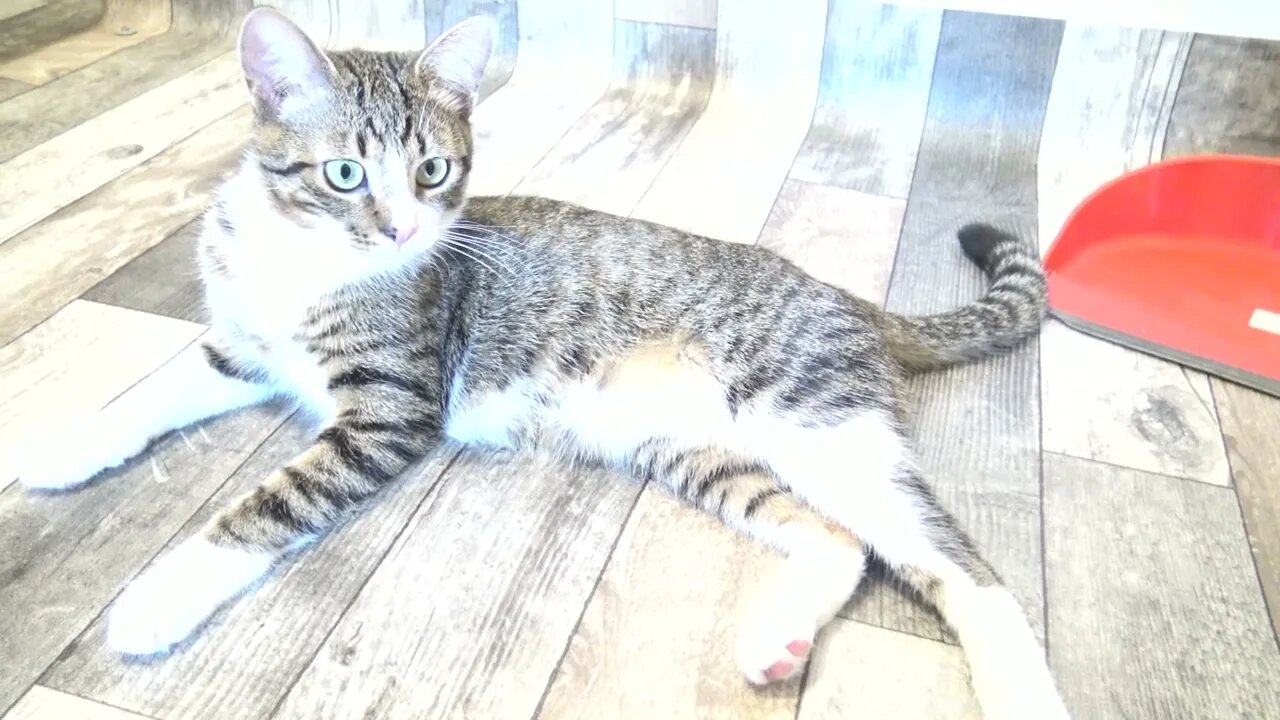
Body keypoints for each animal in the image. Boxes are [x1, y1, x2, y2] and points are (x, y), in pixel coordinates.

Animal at [17, 7, 1070, 717]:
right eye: (344, 173)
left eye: (433, 171)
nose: (403, 228)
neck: (301, 261)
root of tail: (852, 298)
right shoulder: (239, 349)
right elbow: (154, 390)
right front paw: (65, 447)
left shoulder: (388, 411)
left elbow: (270, 502)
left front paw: (158, 597)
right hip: (691, 448)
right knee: (838, 540)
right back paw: (779, 639)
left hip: (815, 422)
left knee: (961, 566)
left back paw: (1021, 690)